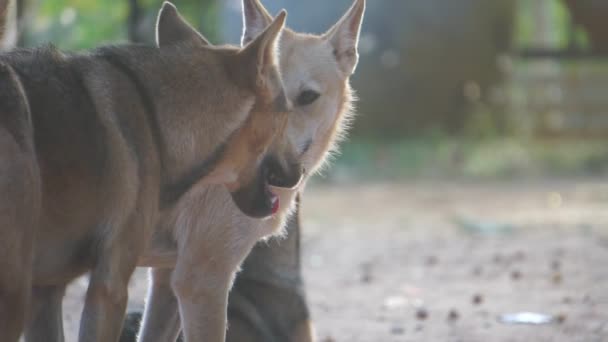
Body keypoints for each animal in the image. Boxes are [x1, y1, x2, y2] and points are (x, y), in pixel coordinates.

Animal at [0, 2, 296, 340]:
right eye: (287, 114)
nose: (299, 170)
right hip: (14, 298)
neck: (157, 121)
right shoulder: (109, 287)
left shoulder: (46, 292)